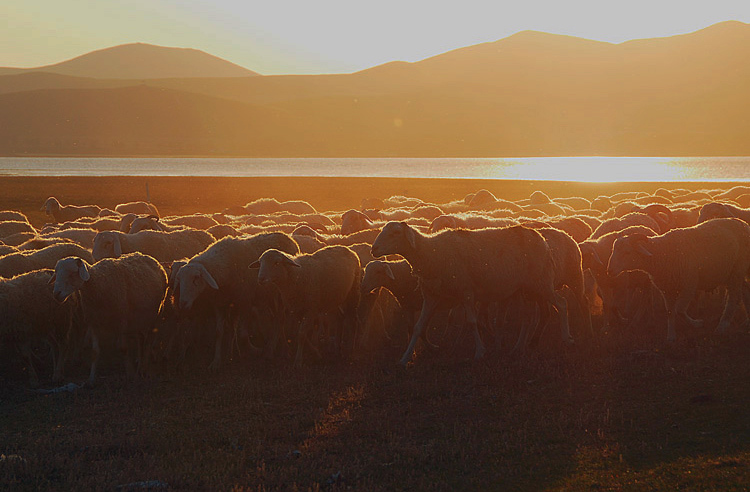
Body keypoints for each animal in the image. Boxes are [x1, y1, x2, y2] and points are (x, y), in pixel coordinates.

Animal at [53, 254, 169, 384]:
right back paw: (140, 366)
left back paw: (144, 369)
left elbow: (123, 348)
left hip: (156, 314)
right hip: (138, 318)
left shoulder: (122, 320)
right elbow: (95, 352)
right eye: (56, 273)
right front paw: (91, 379)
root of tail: (150, 258)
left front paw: (130, 375)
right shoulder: (94, 322)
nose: (56, 294)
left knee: (148, 342)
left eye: (72, 273)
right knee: (140, 340)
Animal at [177, 233, 302, 370]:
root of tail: (288, 237)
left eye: (196, 278)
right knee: (276, 318)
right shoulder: (220, 304)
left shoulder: (245, 302)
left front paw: (254, 350)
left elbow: (242, 334)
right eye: (179, 279)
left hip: (281, 294)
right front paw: (219, 360)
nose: (182, 304)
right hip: (269, 295)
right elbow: (220, 332)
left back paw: (276, 350)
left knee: (280, 319)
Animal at [374, 223, 572, 366]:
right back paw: (518, 348)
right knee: (528, 318)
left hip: (541, 282)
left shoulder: (466, 291)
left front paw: (479, 352)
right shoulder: (431, 296)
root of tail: (541, 238)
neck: (432, 252)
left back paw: (565, 339)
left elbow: (471, 322)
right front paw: (404, 358)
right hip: (523, 289)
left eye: (395, 233)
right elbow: (417, 327)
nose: (373, 249)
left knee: (562, 304)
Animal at [608, 219, 750, 342]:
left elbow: (679, 310)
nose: (609, 270)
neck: (662, 253)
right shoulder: (667, 289)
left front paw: (697, 323)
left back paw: (722, 327)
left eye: (627, 252)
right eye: (613, 250)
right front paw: (671, 336)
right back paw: (746, 321)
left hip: (737, 270)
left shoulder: (689, 285)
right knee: (744, 291)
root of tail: (743, 223)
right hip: (734, 273)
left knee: (733, 299)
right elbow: (670, 312)